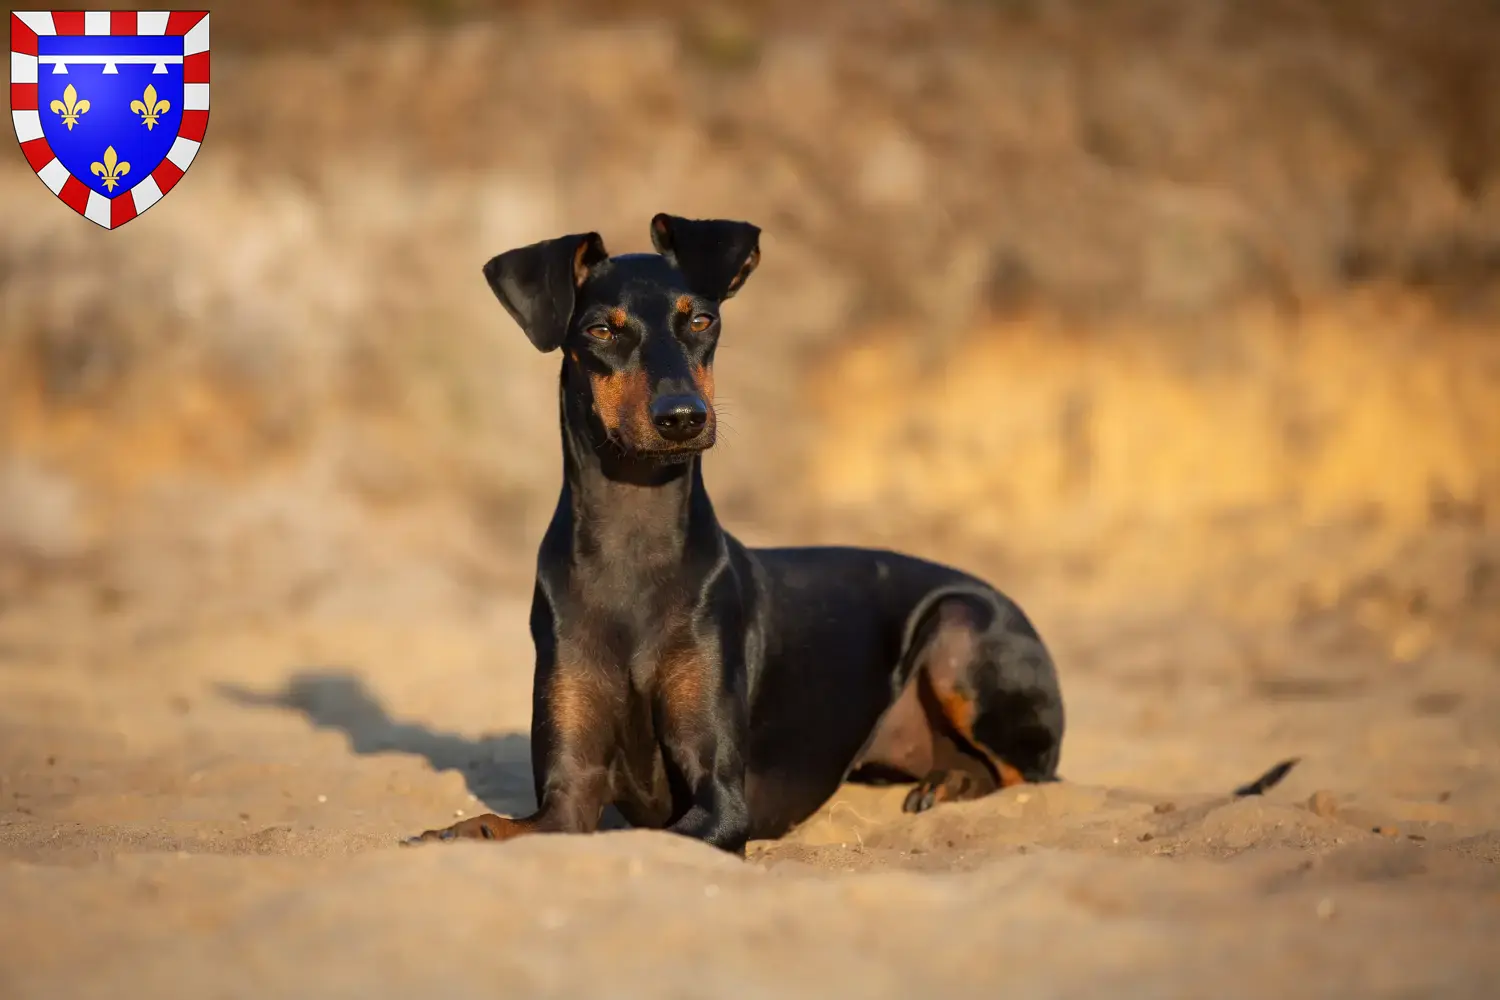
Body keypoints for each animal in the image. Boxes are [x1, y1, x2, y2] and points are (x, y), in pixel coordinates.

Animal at [405, 215, 1068, 857]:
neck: (632, 540)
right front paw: (449, 834)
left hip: (960, 627)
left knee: (1030, 775)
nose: (682, 417)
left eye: (701, 319)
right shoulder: (569, 795)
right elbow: (505, 826)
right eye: (601, 330)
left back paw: (954, 783)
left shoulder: (721, 797)